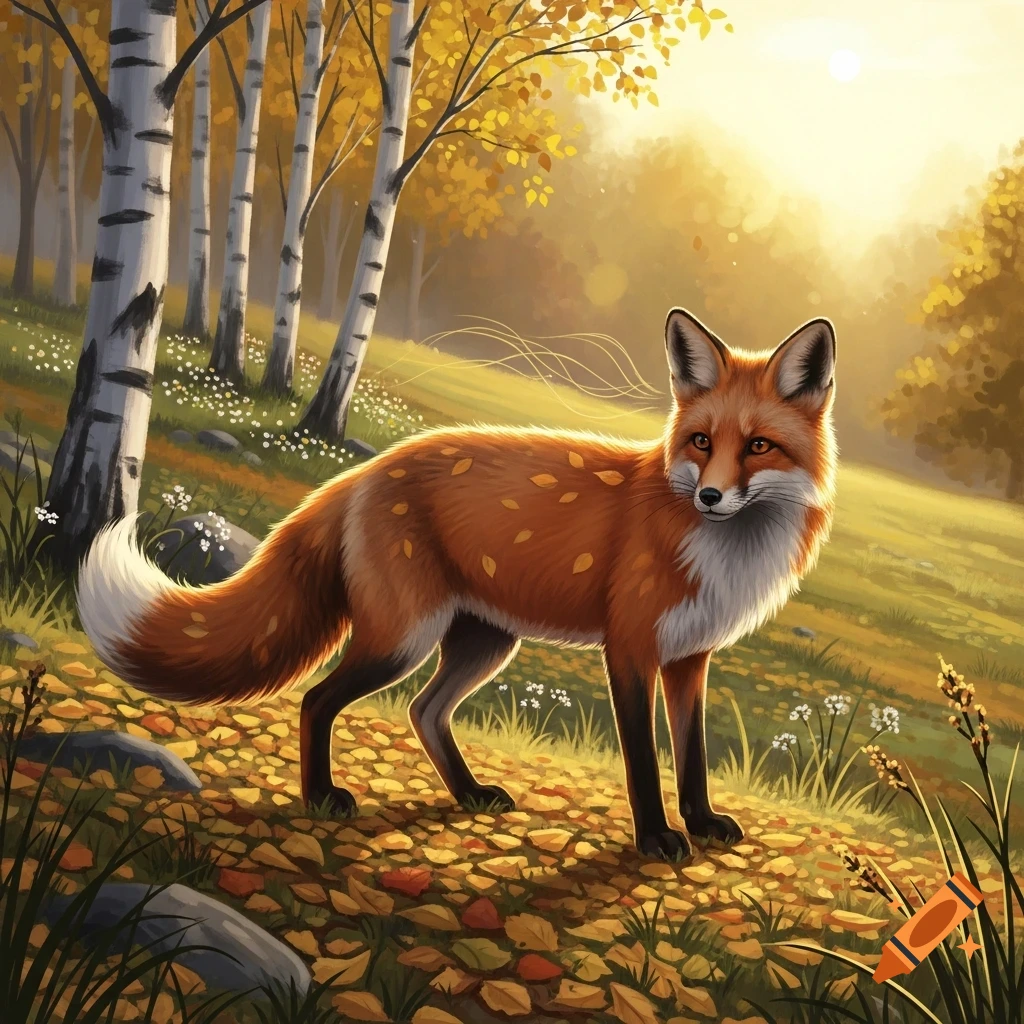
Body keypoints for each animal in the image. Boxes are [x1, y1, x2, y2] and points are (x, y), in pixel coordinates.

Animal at [77, 308, 837, 860]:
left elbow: (694, 758)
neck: (721, 551)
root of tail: (364, 470)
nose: (710, 496)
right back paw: (322, 797)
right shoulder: (629, 650)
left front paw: (701, 823)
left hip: (484, 644)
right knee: (318, 700)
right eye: (703, 442)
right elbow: (646, 766)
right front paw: (656, 839)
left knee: (424, 711)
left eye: (759, 446)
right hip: (403, 639)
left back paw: (468, 794)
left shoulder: (689, 659)